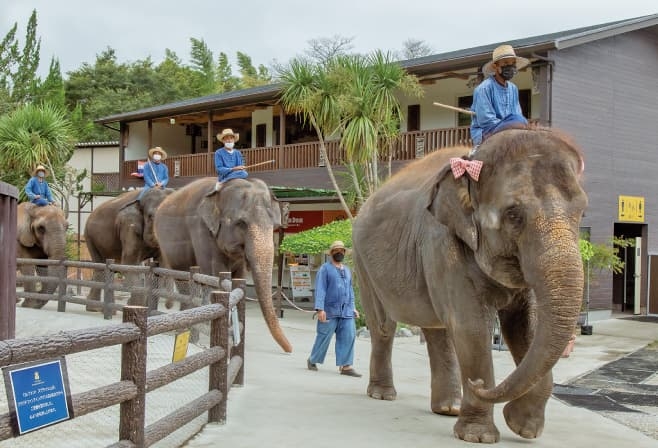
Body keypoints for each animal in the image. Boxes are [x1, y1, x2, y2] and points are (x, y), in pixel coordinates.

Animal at [154, 176, 292, 354]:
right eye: (242, 223)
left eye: (274, 226)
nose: (289, 349)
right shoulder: (201, 228)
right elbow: (215, 272)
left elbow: (238, 276)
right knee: (183, 277)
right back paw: (186, 325)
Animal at [352, 128, 588, 442]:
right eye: (513, 214)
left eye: (582, 212)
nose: (477, 384)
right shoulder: (442, 241)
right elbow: (471, 326)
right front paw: (479, 437)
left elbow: (526, 326)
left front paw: (523, 428)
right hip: (362, 261)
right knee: (383, 326)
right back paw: (382, 395)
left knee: (436, 328)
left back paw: (448, 408)